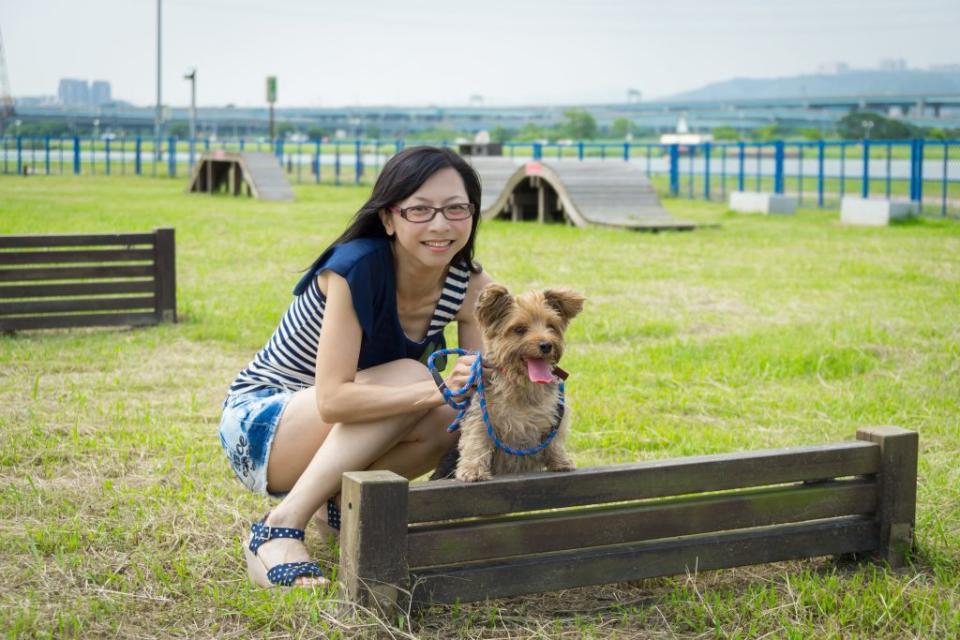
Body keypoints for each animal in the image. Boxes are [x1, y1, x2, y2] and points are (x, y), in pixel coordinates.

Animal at [434, 282, 584, 482]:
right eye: (519, 329)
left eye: (551, 326)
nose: (546, 345)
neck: (522, 383)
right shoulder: (480, 417)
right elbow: (476, 442)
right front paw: (473, 470)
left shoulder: (556, 414)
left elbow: (555, 441)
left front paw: (560, 461)